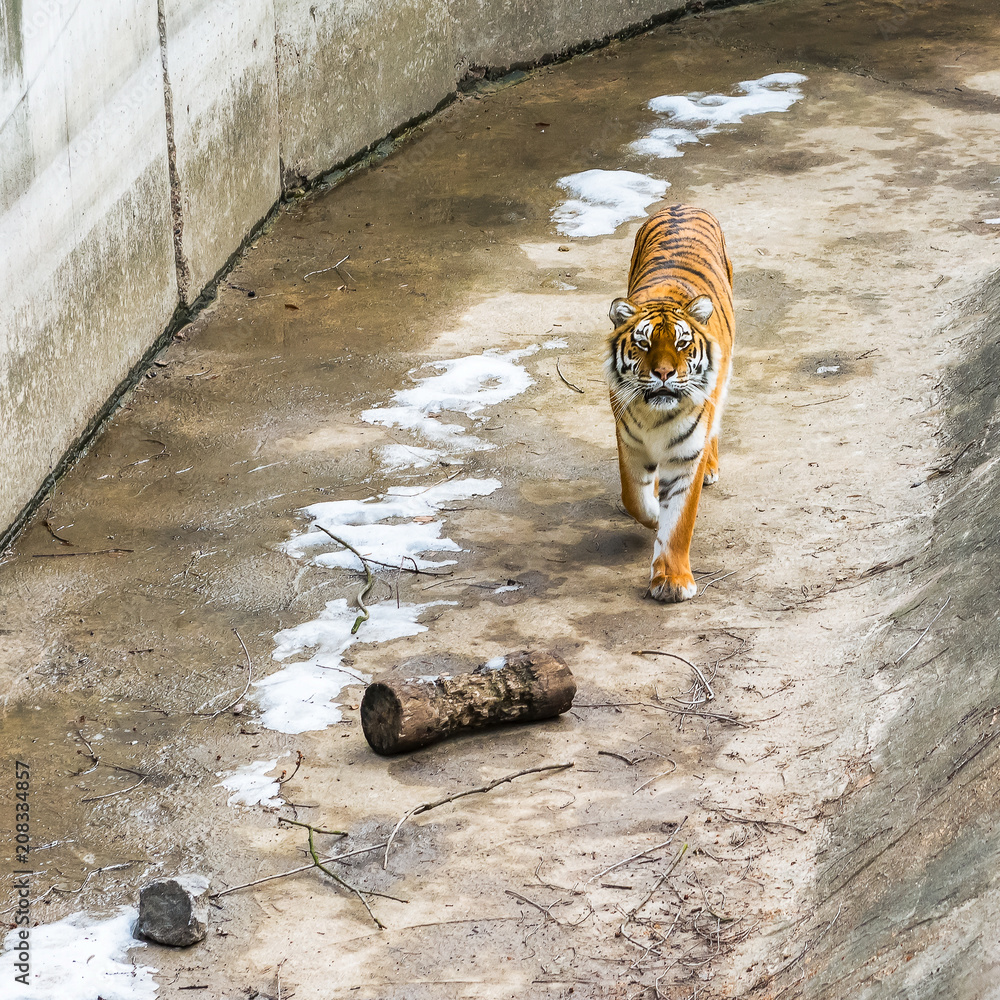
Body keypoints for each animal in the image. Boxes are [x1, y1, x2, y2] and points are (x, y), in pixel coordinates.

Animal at [606, 205, 734, 603]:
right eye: (644, 344)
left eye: (681, 343)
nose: (663, 373)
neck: (656, 416)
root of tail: (684, 204)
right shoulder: (629, 442)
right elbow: (634, 496)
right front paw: (651, 515)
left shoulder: (686, 455)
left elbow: (679, 521)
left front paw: (673, 582)